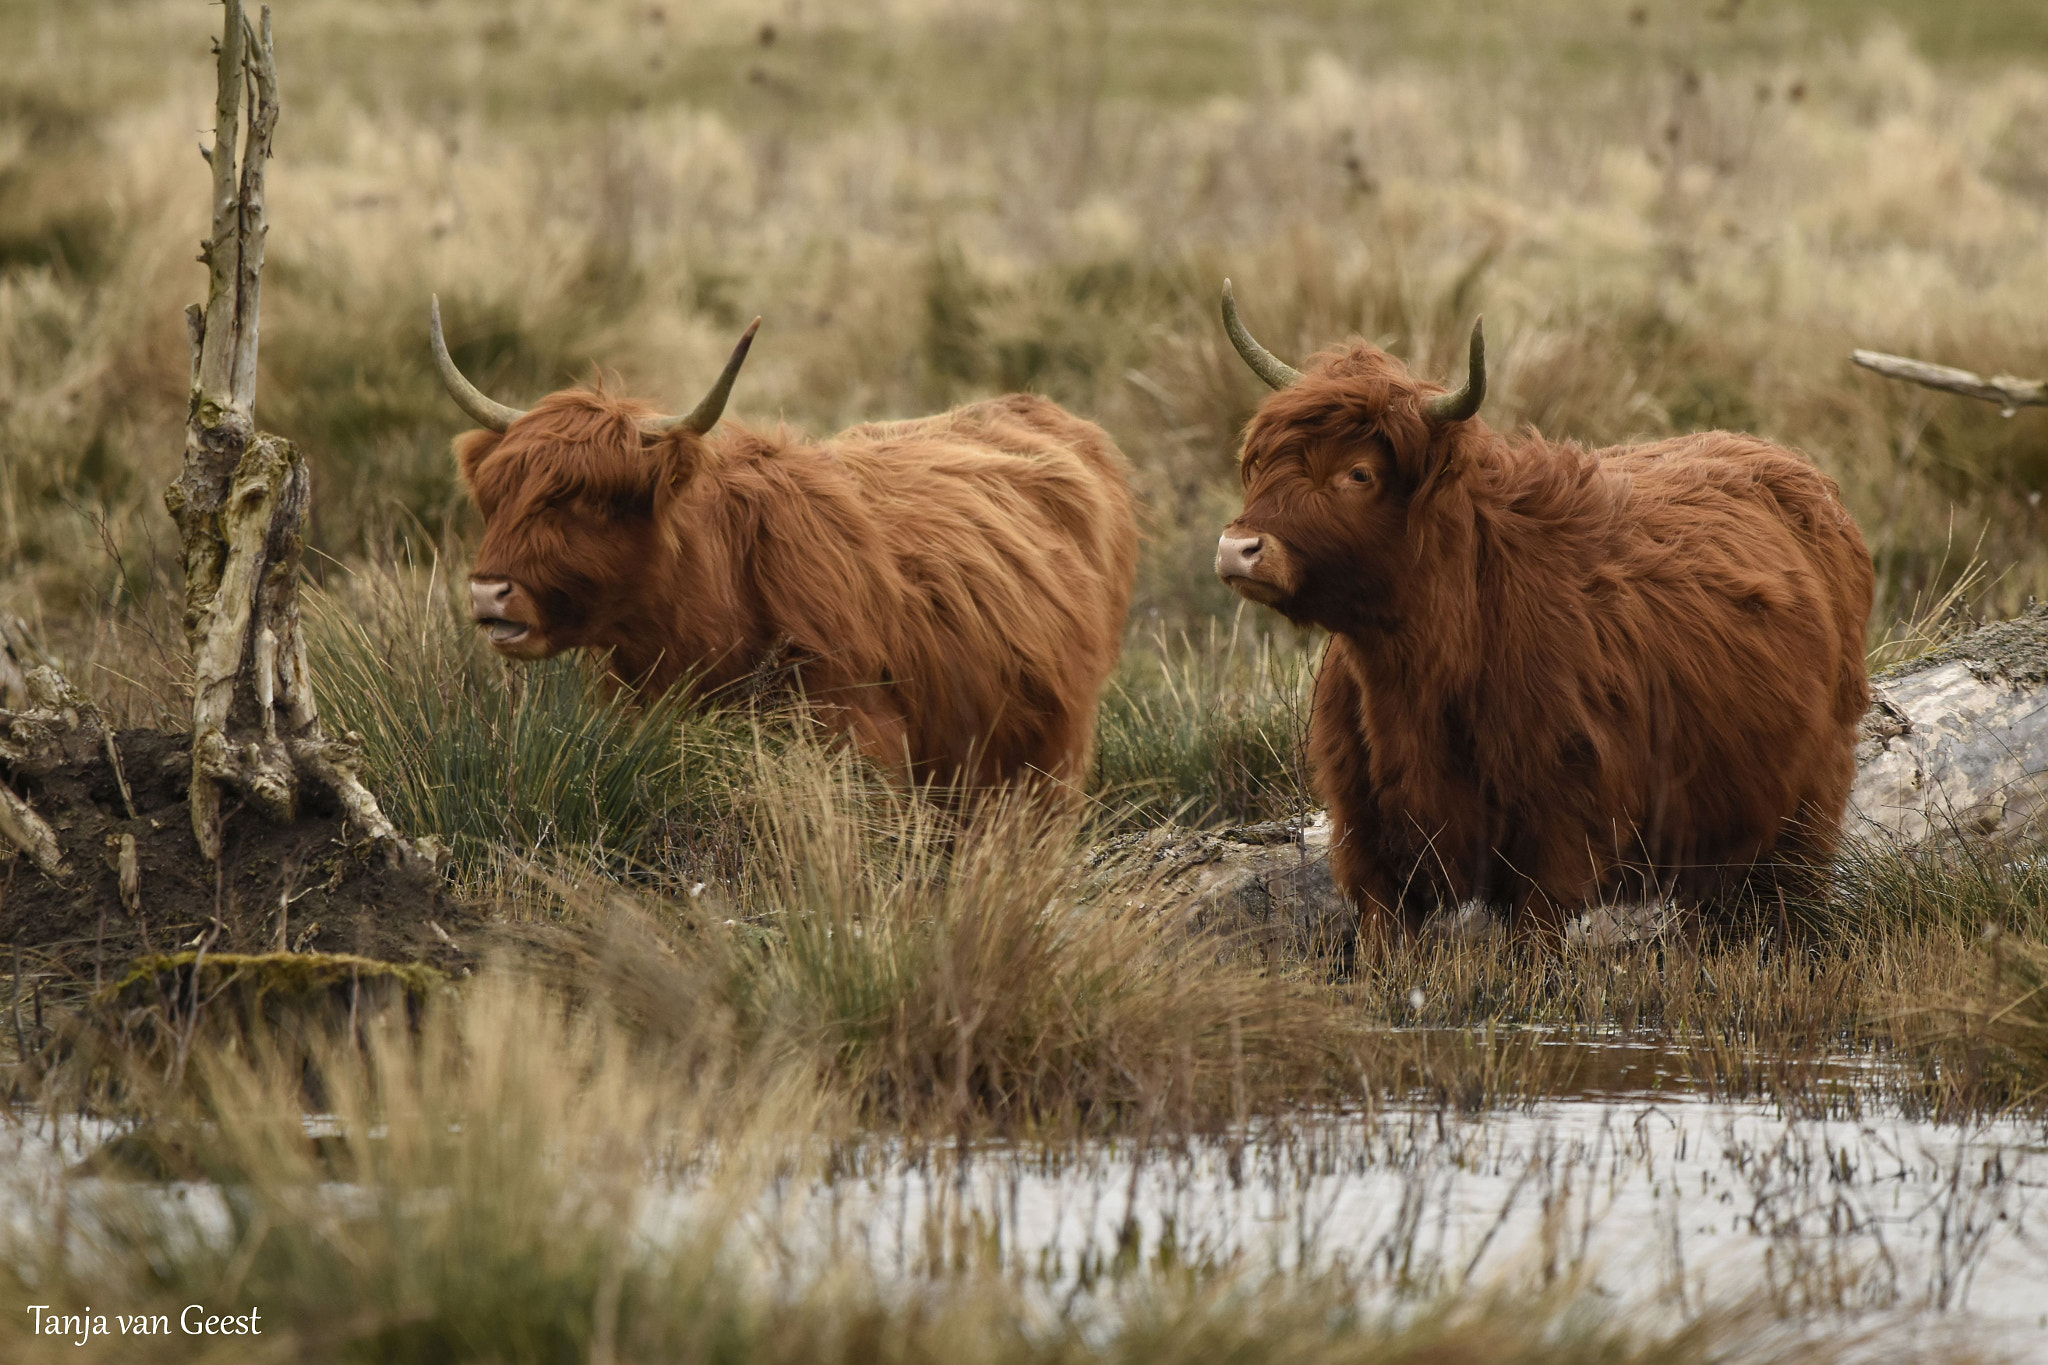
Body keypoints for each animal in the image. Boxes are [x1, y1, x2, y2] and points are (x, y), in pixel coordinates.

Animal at [1212, 278, 1875, 941]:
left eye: (1359, 473)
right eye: (1267, 463)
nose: (1236, 548)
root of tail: (1795, 468)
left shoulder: (1556, 835)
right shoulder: (1370, 848)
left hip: (1806, 803)